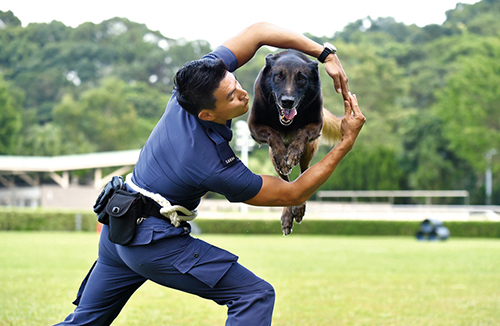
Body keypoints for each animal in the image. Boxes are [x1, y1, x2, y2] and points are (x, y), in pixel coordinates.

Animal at [248, 50, 342, 234]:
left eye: (302, 78)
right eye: (279, 76)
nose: (287, 101)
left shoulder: (315, 125)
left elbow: (302, 132)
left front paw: (292, 152)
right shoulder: (254, 126)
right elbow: (273, 133)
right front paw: (282, 154)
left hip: (309, 151)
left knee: (304, 176)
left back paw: (297, 208)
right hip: (272, 160)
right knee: (286, 184)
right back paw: (287, 214)